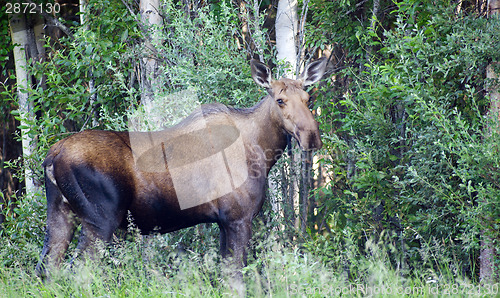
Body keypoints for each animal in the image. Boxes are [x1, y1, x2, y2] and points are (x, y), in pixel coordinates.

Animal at [35, 58, 328, 278]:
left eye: (308, 97)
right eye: (280, 100)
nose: (311, 136)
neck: (261, 152)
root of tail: (52, 156)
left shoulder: (223, 222)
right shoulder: (238, 217)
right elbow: (237, 274)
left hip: (61, 214)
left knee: (46, 269)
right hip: (100, 220)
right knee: (79, 272)